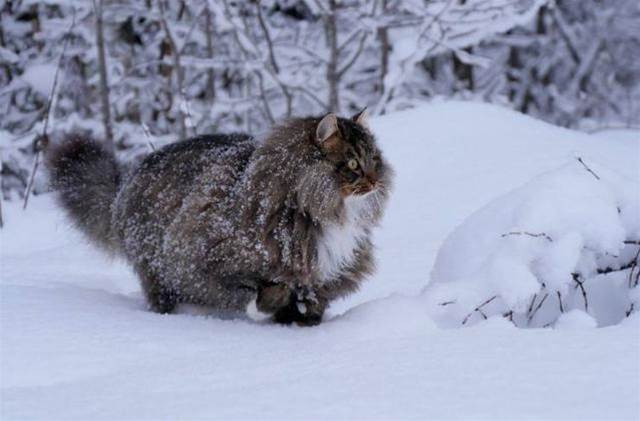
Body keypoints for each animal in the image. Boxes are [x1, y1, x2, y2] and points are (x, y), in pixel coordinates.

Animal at [46, 111, 390, 324]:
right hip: (156, 267)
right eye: (353, 164)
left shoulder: (328, 274)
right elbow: (253, 292)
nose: (376, 180)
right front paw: (267, 305)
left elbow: (312, 298)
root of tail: (125, 184)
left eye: (374, 159)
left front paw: (303, 318)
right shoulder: (207, 259)